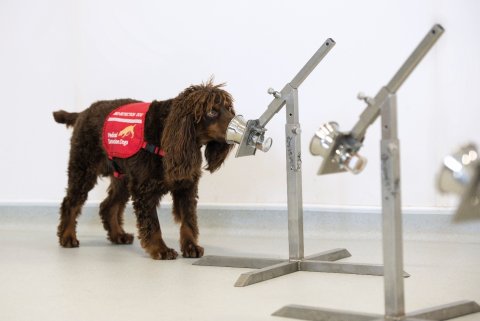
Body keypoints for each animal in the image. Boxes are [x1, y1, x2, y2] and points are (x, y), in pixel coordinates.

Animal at [53, 81, 236, 258]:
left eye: (228, 108)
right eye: (211, 112)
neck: (167, 132)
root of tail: (83, 113)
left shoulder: (186, 186)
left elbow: (188, 220)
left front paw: (191, 246)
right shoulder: (144, 189)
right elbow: (153, 224)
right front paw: (161, 249)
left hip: (122, 178)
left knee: (107, 206)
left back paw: (118, 235)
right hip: (83, 169)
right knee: (70, 202)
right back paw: (67, 237)